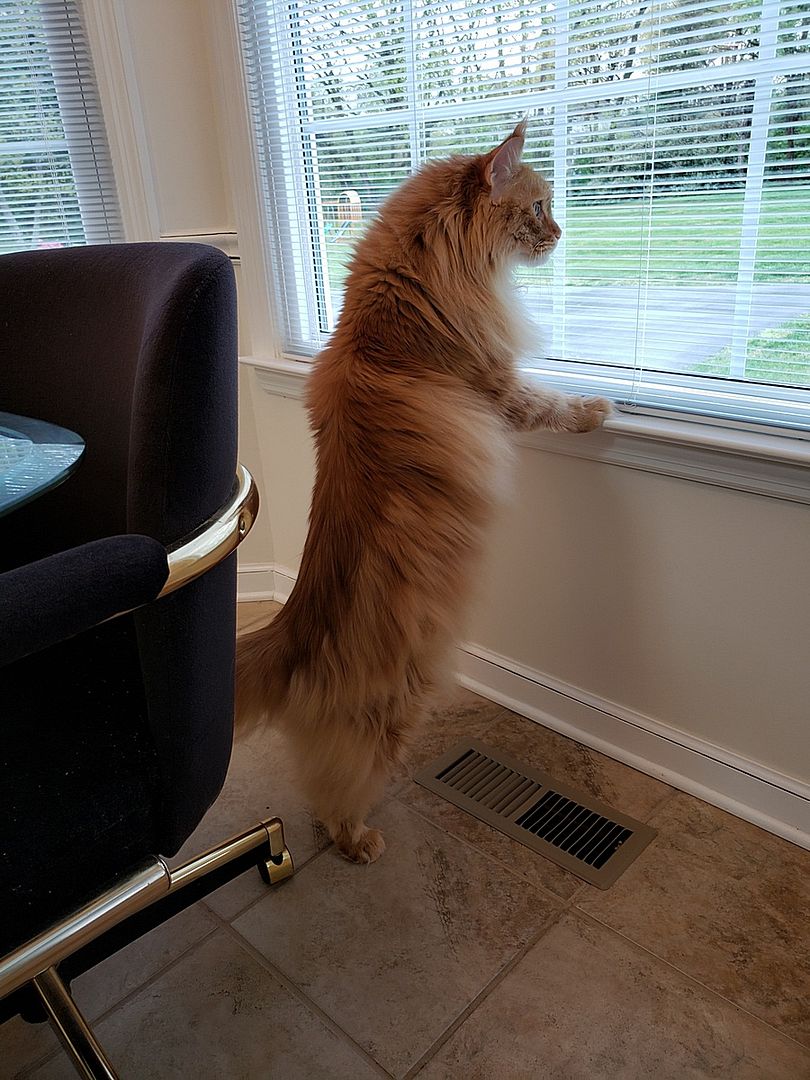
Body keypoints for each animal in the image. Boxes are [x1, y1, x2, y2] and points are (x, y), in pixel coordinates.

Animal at [236, 121, 611, 864]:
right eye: (538, 208)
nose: (561, 233)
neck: (393, 308)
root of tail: (293, 630)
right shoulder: (500, 386)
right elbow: (553, 405)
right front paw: (596, 410)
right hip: (397, 702)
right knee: (341, 782)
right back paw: (357, 839)